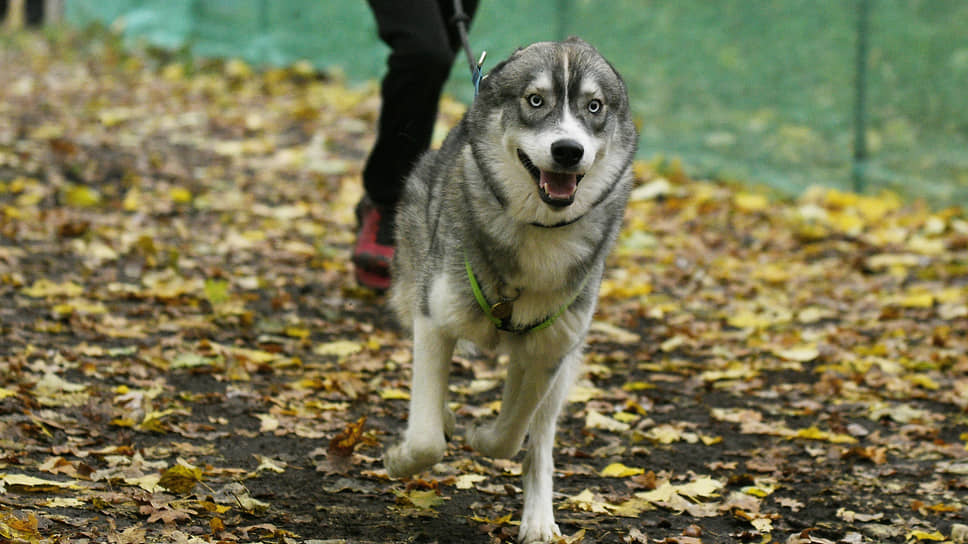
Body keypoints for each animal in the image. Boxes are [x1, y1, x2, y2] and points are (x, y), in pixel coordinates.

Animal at [386, 38, 636, 544]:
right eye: (535, 100)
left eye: (594, 107)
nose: (568, 150)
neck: (539, 231)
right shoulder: (433, 320)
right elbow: (425, 439)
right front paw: (402, 458)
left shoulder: (551, 351)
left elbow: (511, 434)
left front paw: (482, 437)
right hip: (408, 290)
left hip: (563, 363)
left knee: (537, 438)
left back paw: (538, 518)